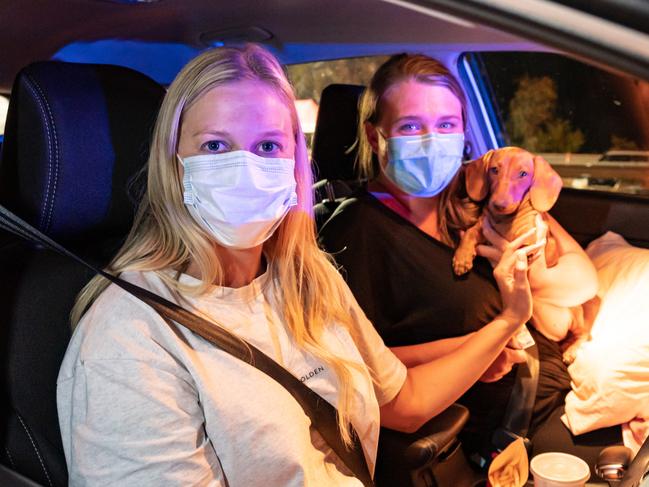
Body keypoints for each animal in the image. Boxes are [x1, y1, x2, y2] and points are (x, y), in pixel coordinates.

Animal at [454, 147, 588, 364]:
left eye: (523, 174)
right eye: (494, 170)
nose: (498, 204)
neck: (505, 220)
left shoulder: (532, 239)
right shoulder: (484, 226)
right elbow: (472, 232)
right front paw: (462, 257)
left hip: (576, 315)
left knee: (584, 334)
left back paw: (571, 351)